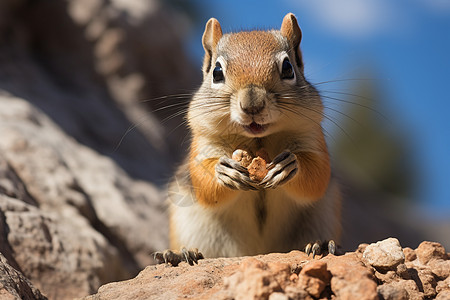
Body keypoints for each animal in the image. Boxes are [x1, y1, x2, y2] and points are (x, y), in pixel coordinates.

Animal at [155, 12, 342, 266]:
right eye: (217, 72)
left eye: (288, 68)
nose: (252, 104)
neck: (257, 140)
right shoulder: (203, 142)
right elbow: (204, 184)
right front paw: (224, 171)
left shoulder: (312, 135)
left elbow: (317, 177)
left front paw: (289, 165)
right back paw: (181, 254)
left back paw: (321, 245)